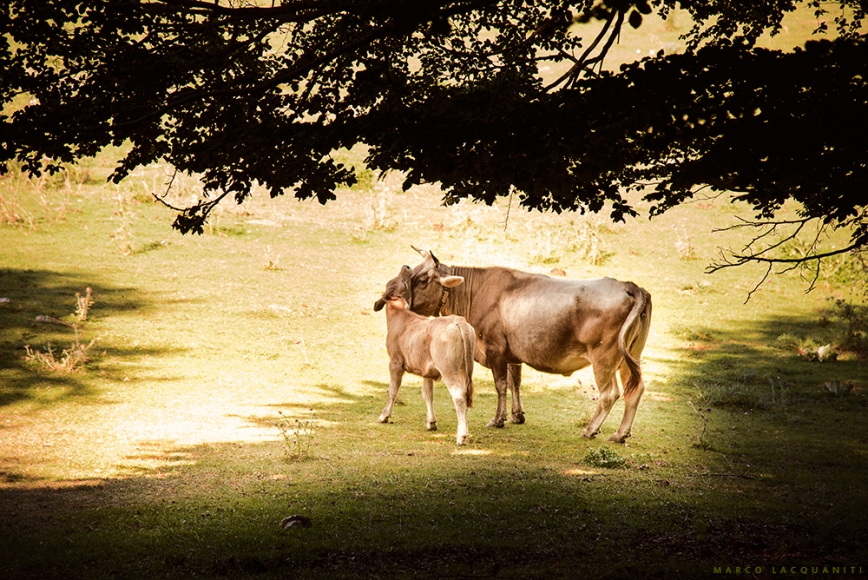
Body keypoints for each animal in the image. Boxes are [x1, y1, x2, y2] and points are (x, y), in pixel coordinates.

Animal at [372, 266, 474, 446]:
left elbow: (393, 390)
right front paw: (431, 422)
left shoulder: (395, 362)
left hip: (448, 368)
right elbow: (427, 394)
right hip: (464, 368)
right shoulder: (427, 370)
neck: (399, 315)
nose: (406, 267)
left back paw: (461, 436)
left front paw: (384, 416)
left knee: (459, 395)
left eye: (403, 282)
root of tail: (458, 320)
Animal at [406, 247, 652, 442]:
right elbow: (515, 382)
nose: (404, 301)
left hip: (604, 357)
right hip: (630, 355)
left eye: (421, 280)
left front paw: (498, 419)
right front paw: (517, 415)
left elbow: (500, 385)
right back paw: (620, 434)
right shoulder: (512, 354)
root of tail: (629, 286)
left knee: (609, 394)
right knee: (635, 389)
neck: (476, 292)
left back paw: (590, 430)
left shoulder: (495, 349)